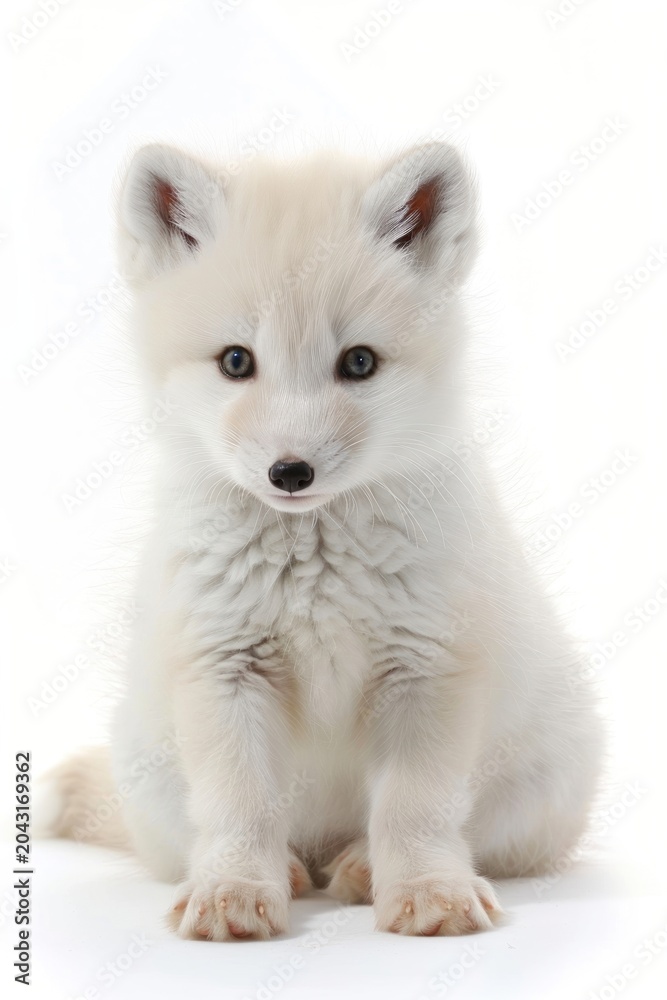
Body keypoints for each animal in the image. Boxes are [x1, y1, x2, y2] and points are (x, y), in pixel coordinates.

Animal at [42, 139, 603, 940]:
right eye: (236, 361)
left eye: (359, 362)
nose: (290, 472)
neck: (315, 570)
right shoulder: (225, 666)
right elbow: (241, 809)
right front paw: (234, 890)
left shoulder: (426, 667)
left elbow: (413, 811)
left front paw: (427, 890)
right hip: (149, 772)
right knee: (244, 844)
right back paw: (283, 871)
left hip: (540, 784)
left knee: (454, 835)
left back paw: (362, 868)